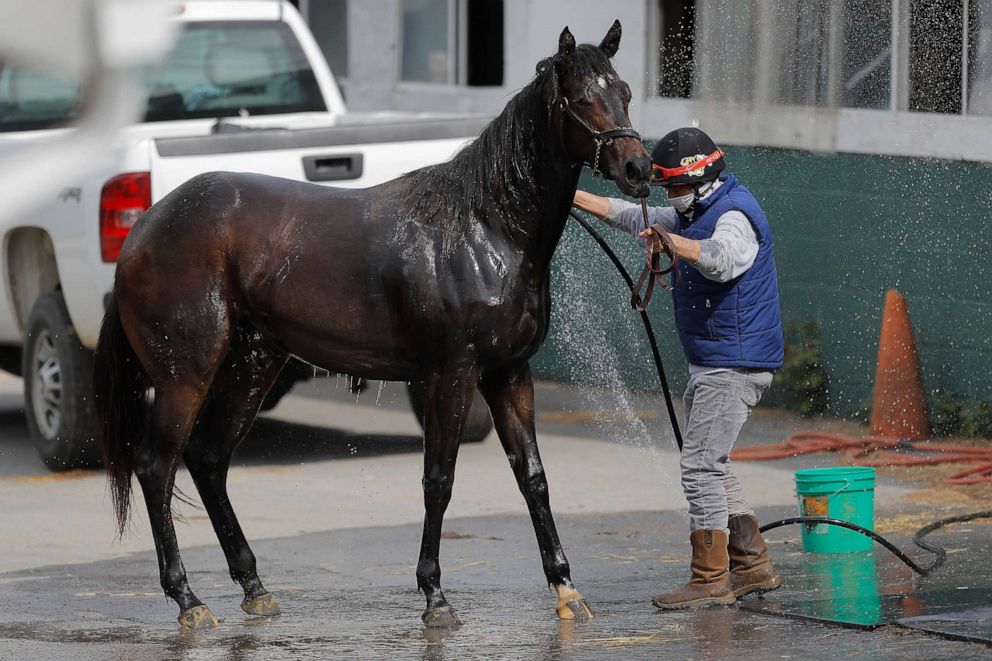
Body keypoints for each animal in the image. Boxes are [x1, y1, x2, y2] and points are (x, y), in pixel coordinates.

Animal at [93, 21, 652, 628]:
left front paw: (567, 590)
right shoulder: (452, 374)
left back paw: (254, 586)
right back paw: (188, 599)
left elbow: (533, 477)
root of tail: (145, 228)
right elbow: (439, 479)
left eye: (624, 92)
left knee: (208, 459)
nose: (639, 169)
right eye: (581, 99)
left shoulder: (509, 373)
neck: (485, 227)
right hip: (184, 377)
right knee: (157, 467)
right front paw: (435, 596)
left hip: (252, 365)